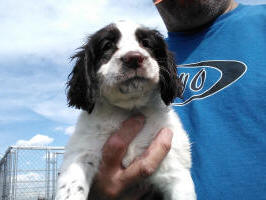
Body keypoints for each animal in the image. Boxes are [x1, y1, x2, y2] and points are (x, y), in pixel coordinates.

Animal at [55, 21, 195, 199]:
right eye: (107, 45)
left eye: (146, 43)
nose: (134, 58)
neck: (129, 110)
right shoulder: (80, 152)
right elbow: (72, 187)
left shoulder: (175, 169)